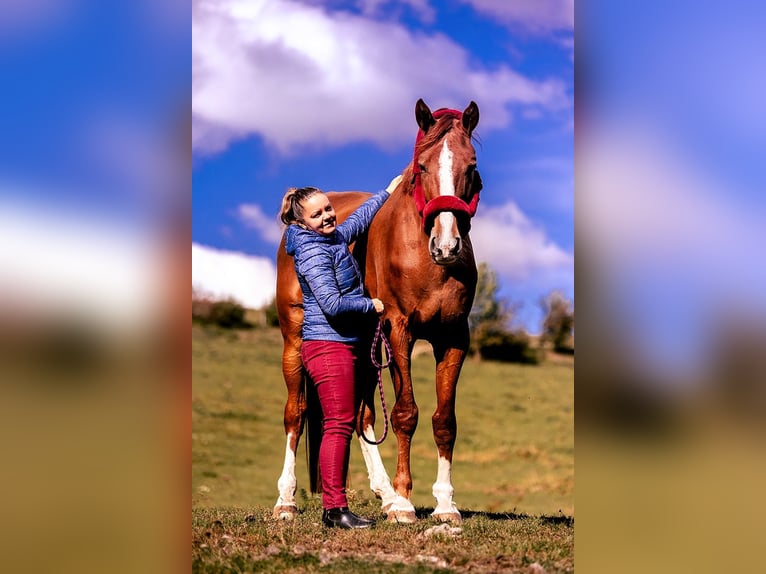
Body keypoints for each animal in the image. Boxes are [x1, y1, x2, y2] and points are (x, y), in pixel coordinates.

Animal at [273, 99, 482, 523]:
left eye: (471, 167)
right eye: (422, 167)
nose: (447, 246)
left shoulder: (454, 337)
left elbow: (444, 420)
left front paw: (445, 505)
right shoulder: (399, 329)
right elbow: (405, 413)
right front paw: (404, 502)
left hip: (363, 350)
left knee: (360, 415)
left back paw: (383, 493)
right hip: (295, 341)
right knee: (295, 413)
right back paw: (286, 500)